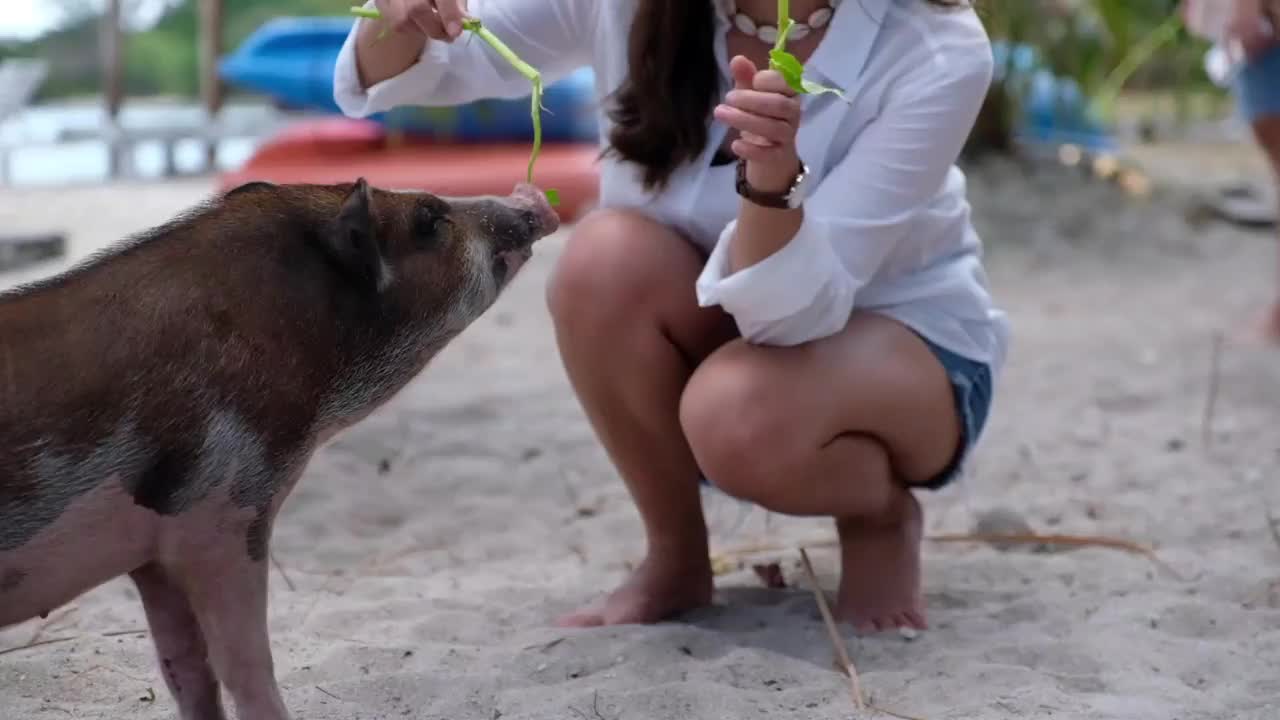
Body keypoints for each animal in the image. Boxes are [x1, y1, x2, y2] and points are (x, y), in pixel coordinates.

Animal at [0, 175, 560, 717]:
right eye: (429, 221)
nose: (530, 200)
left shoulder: (150, 557)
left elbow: (185, 668)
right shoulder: (220, 511)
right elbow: (244, 662)